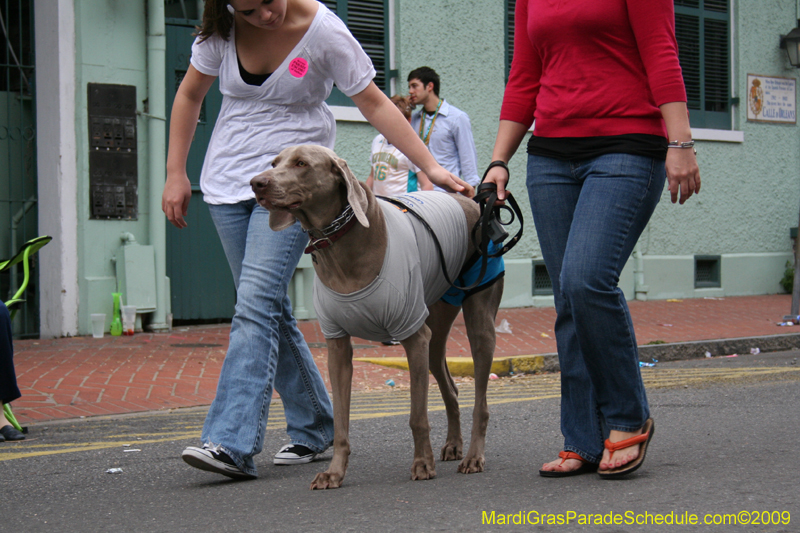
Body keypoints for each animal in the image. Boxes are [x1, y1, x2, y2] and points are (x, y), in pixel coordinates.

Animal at [250, 143, 504, 488]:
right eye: (275, 162)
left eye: (302, 163)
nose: (256, 183)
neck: (340, 245)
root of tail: (471, 201)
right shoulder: (337, 346)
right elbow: (341, 423)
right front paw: (335, 472)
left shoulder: (412, 335)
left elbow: (417, 416)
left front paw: (421, 464)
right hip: (436, 321)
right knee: (450, 386)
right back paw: (454, 445)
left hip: (478, 317)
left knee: (481, 401)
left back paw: (474, 456)